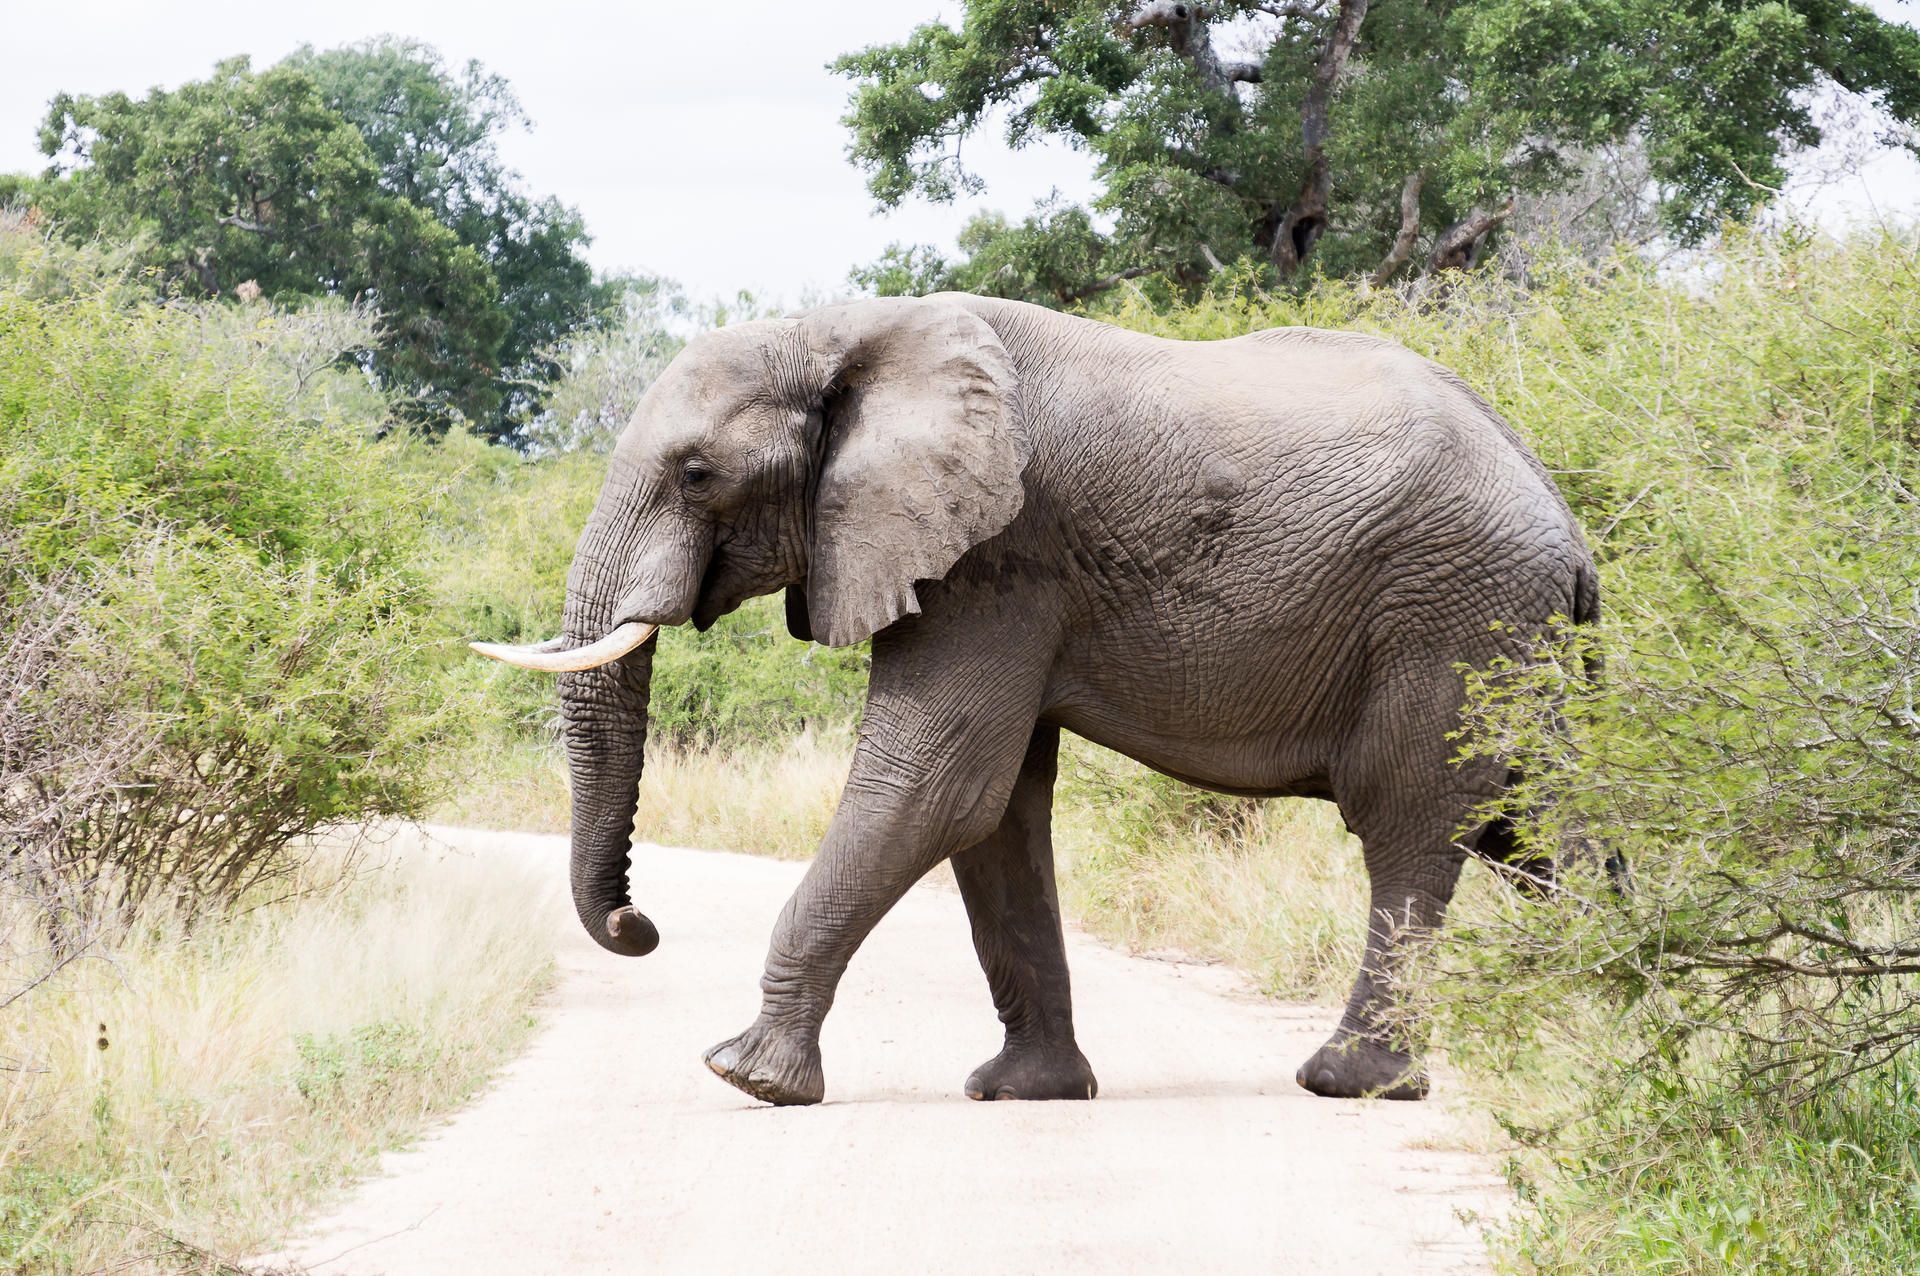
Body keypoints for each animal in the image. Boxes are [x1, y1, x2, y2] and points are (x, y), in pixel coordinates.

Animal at [473, 293, 1597, 1106]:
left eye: (698, 474)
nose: (638, 926)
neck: (846, 327)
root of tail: (1564, 517)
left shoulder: (998, 555)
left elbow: (933, 787)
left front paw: (747, 1076)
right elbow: (997, 813)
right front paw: (1026, 1092)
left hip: (1450, 615)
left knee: (1411, 821)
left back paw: (1350, 1083)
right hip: (1510, 634)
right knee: (1539, 825)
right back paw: (1618, 1024)